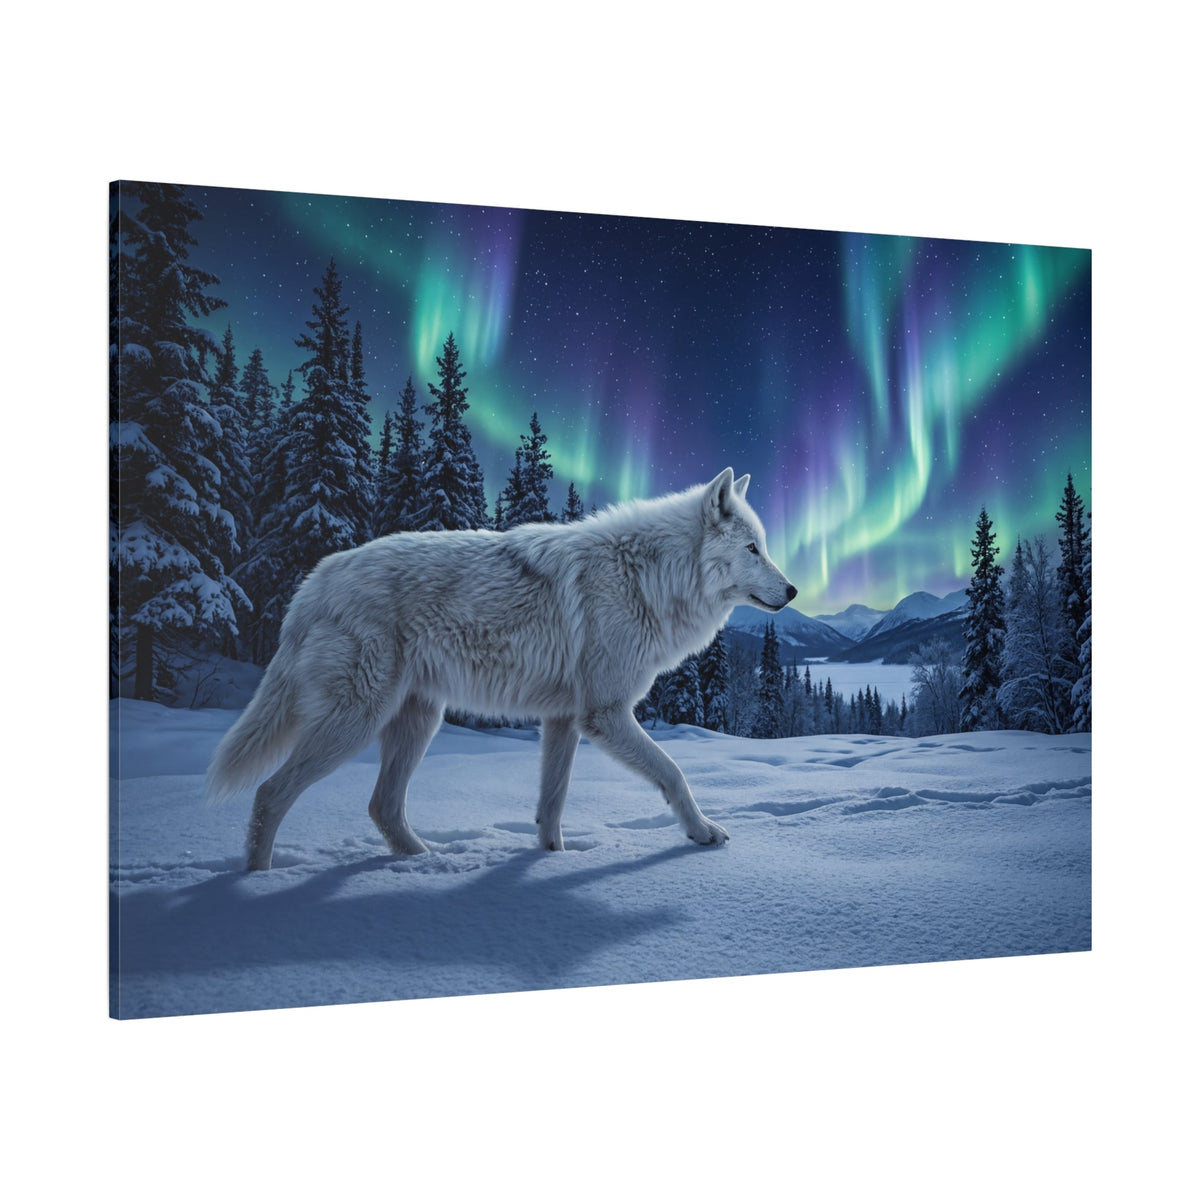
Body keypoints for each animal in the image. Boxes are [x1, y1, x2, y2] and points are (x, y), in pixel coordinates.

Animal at [206, 468, 797, 869]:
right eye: (754, 549)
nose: (792, 591)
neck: (649, 575)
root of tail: (314, 582)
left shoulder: (563, 721)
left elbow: (551, 806)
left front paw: (549, 861)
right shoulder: (604, 714)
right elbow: (674, 772)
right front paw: (703, 832)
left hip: (418, 721)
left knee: (382, 807)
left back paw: (423, 863)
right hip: (355, 722)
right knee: (270, 793)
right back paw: (256, 882)